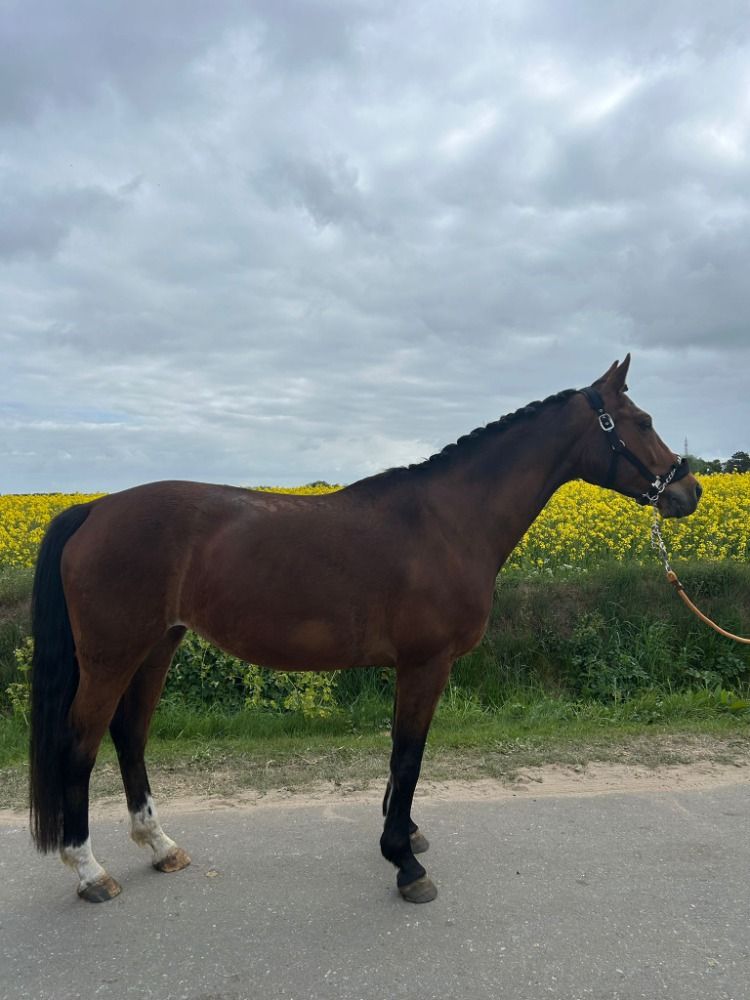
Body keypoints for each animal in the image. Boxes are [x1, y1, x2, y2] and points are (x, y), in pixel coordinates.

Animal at [29, 356, 701, 904]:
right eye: (641, 420)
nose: (688, 490)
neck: (447, 522)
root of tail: (95, 509)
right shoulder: (425, 663)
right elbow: (408, 756)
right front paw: (404, 864)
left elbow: (405, 757)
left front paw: (406, 835)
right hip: (113, 655)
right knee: (80, 744)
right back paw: (89, 871)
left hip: (156, 647)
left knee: (129, 735)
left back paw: (161, 845)